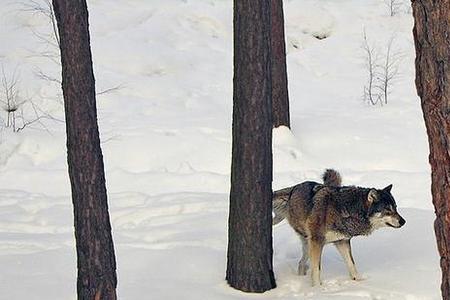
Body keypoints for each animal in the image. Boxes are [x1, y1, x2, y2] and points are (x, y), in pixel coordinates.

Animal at [272, 169, 406, 286]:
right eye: (388, 210)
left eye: (395, 208)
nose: (403, 221)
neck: (345, 210)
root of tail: (293, 188)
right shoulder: (317, 242)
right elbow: (316, 269)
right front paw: (318, 289)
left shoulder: (342, 241)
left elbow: (352, 264)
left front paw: (360, 282)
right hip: (309, 243)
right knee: (302, 263)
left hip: (308, 245)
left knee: (301, 263)